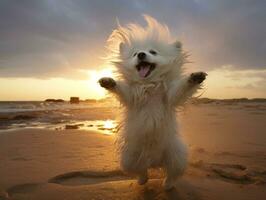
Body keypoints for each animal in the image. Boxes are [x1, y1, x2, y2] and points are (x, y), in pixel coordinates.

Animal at [98, 14, 207, 190]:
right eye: (135, 53)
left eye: (153, 52)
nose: (141, 54)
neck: (149, 85)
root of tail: (154, 161)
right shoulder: (132, 96)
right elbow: (122, 89)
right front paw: (109, 82)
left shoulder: (170, 96)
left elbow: (181, 88)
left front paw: (194, 77)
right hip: (129, 157)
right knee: (141, 171)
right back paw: (142, 180)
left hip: (176, 155)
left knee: (172, 173)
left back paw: (167, 185)